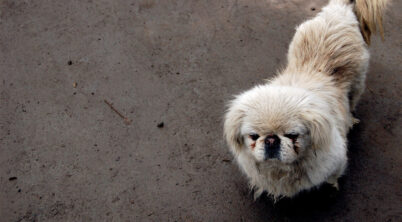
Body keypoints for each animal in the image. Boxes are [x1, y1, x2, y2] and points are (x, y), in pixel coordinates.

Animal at [225, 0, 388, 199]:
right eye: (254, 136)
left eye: (292, 135)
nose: (271, 140)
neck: (282, 169)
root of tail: (339, 10)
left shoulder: (336, 160)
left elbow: (333, 176)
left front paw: (332, 186)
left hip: (358, 81)